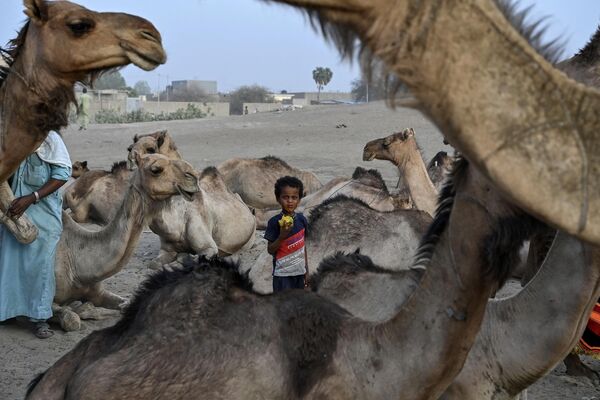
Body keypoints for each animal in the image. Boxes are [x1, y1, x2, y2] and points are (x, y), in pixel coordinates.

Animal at [51, 154, 197, 332]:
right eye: (156, 170)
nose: (194, 177)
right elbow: (71, 320)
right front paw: (82, 310)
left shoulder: (97, 291)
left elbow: (126, 303)